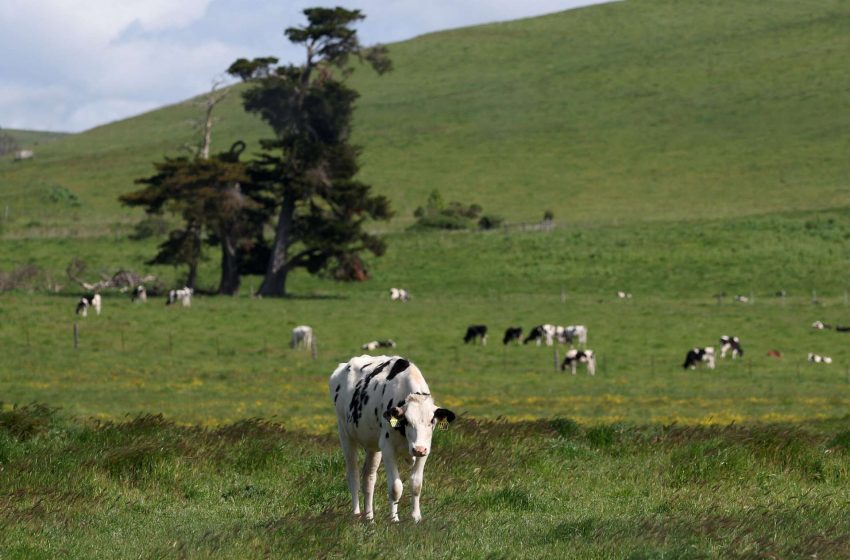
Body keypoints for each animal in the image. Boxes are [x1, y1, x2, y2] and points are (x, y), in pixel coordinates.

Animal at [328, 356, 454, 524]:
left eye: (431, 421)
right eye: (407, 421)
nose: (418, 449)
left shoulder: (425, 450)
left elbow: (416, 484)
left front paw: (416, 517)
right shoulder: (388, 449)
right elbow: (395, 487)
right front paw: (394, 519)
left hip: (373, 446)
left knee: (369, 478)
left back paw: (369, 518)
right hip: (345, 435)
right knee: (353, 475)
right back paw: (356, 514)